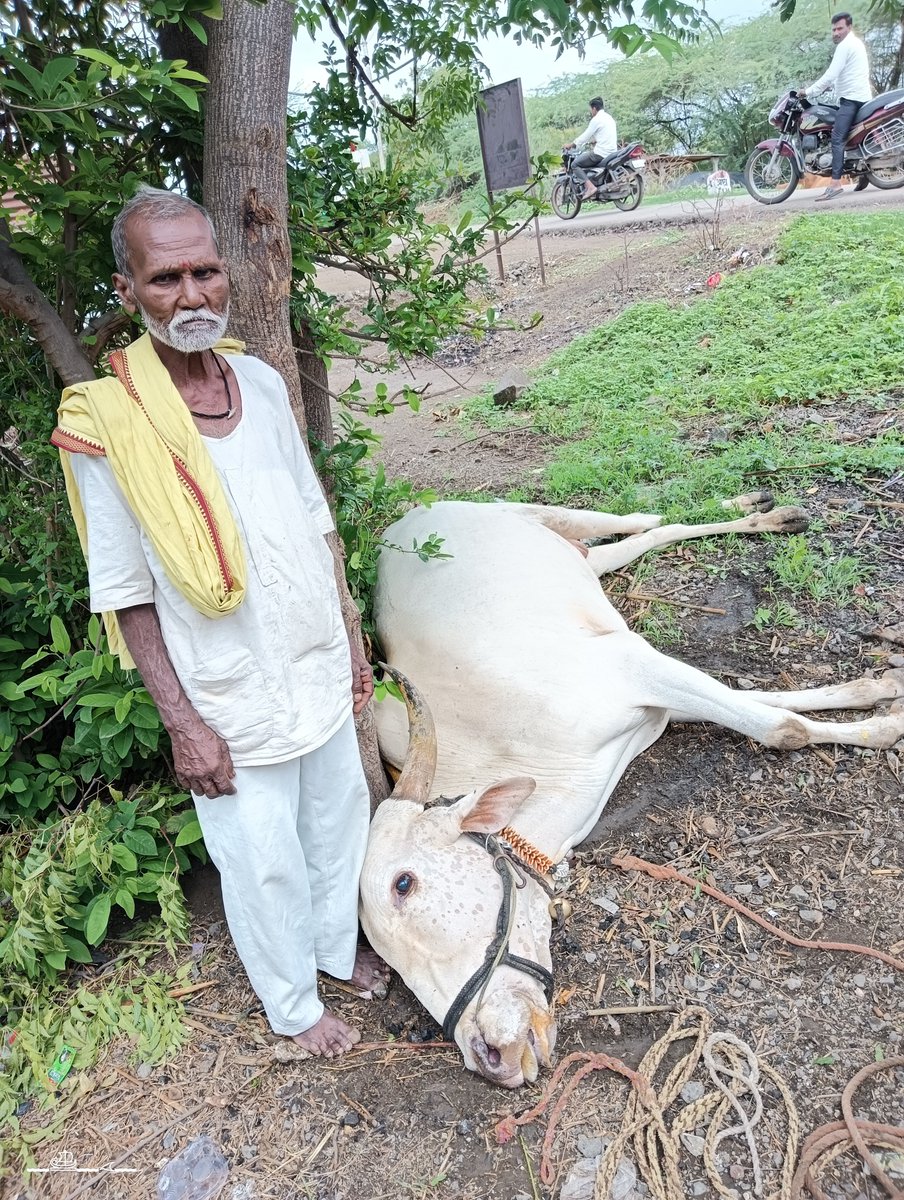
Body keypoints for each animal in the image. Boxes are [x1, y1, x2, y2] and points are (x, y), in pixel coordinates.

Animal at [358, 497, 904, 1089]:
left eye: (404, 884)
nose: (490, 1056)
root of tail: (407, 519)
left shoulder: (632, 666)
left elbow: (780, 726)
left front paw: (885, 721)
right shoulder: (652, 698)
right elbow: (772, 705)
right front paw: (875, 690)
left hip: (538, 515)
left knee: (647, 520)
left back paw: (763, 511)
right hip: (576, 561)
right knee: (637, 540)